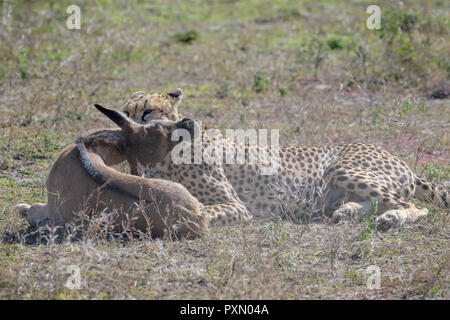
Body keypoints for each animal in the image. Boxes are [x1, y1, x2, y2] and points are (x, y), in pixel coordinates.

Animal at [120, 89, 450, 231]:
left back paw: (391, 218)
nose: (130, 127)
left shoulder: (236, 205)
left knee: (415, 207)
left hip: (340, 167)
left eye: (147, 111)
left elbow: (196, 212)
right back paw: (349, 212)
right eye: (125, 111)